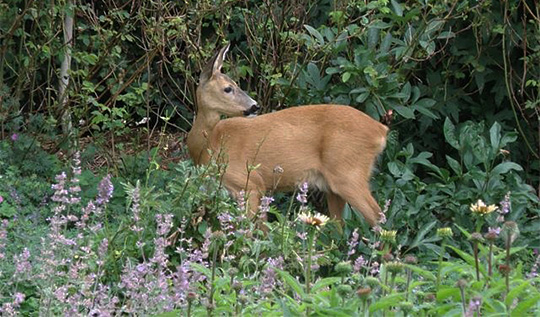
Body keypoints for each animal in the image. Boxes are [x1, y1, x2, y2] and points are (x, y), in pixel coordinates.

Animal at [187, 44, 388, 226]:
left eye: (235, 85)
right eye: (228, 88)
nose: (255, 106)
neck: (208, 145)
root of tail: (381, 130)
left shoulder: (250, 183)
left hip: (349, 173)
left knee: (378, 217)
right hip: (335, 187)